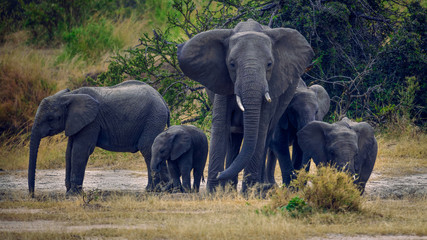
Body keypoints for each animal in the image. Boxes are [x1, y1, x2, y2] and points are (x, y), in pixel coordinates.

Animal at [27, 79, 172, 196]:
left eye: (50, 118)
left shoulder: (92, 121)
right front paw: (69, 192)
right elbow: (69, 151)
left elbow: (80, 150)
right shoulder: (76, 122)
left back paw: (154, 190)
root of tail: (163, 99)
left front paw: (73, 194)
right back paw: (164, 189)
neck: (70, 96)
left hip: (153, 117)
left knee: (147, 148)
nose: (32, 195)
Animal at [177, 18, 314, 192]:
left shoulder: (272, 84)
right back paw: (230, 188)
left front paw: (248, 192)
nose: (219, 174)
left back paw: (259, 188)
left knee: (267, 136)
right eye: (232, 64)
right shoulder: (221, 79)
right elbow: (220, 125)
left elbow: (260, 127)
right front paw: (214, 192)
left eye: (269, 64)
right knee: (233, 139)